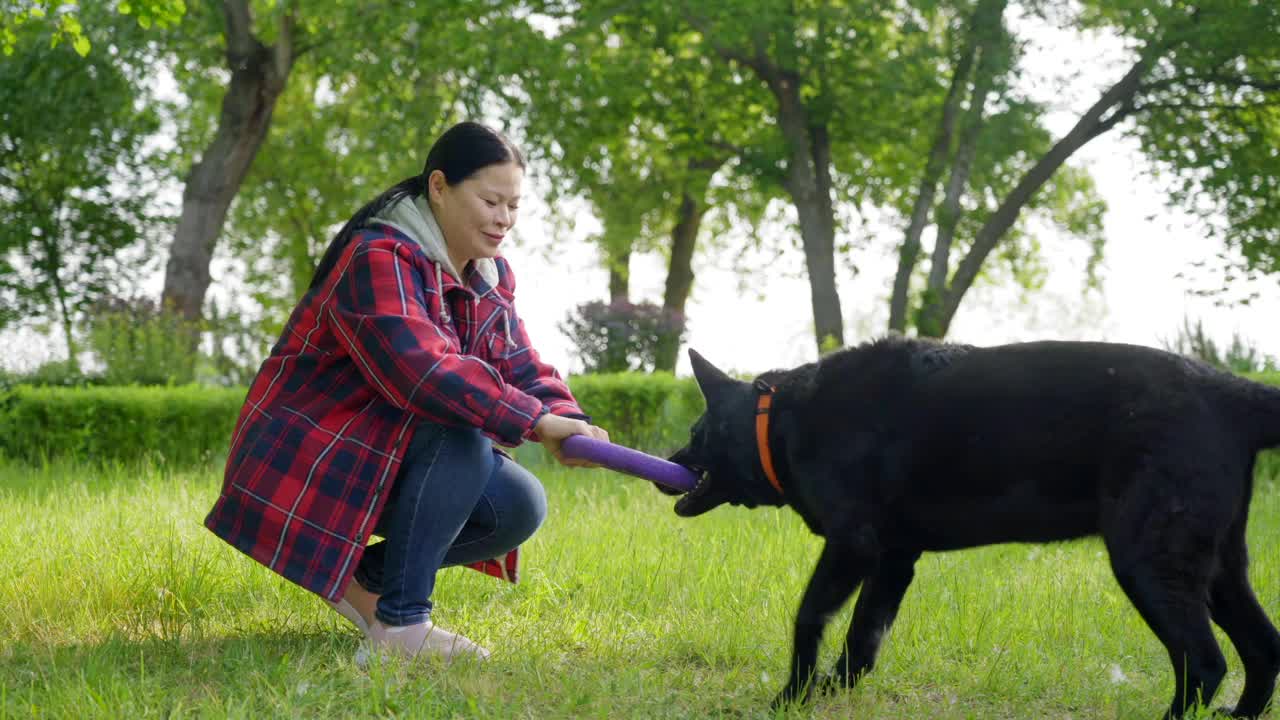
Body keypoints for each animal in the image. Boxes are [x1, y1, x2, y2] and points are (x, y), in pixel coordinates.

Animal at [665, 338, 1280, 717]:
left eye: (697, 432)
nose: (670, 460)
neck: (780, 421)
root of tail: (1231, 390)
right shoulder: (893, 561)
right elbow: (862, 643)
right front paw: (828, 692)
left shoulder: (852, 546)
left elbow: (808, 620)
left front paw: (792, 697)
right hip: (1217, 569)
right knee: (1263, 648)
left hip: (1150, 561)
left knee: (1205, 662)